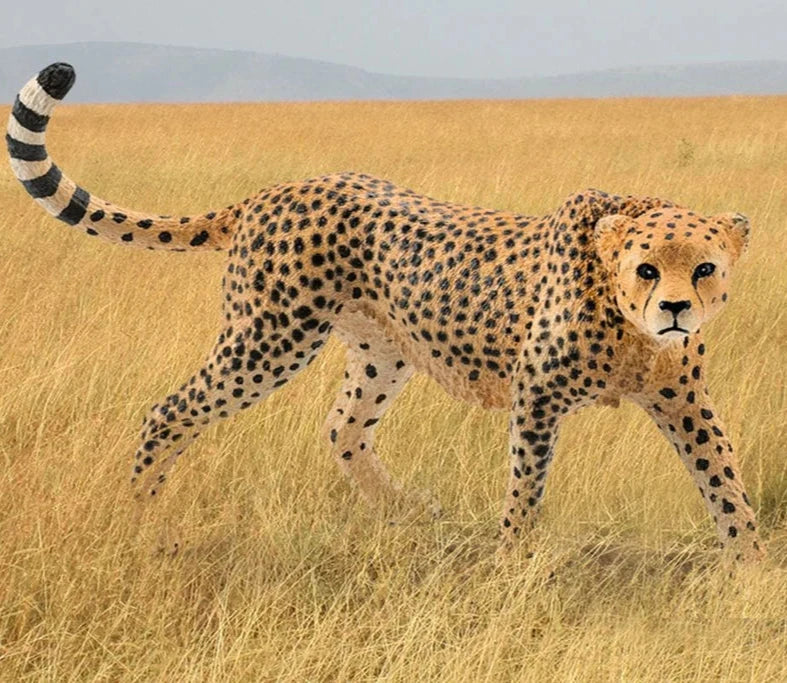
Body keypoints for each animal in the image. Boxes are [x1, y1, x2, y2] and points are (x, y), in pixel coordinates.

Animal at [6, 62, 765, 563]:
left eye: (704, 267)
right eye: (647, 269)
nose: (675, 308)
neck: (630, 326)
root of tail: (278, 188)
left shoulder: (682, 397)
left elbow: (722, 476)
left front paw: (749, 566)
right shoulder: (538, 395)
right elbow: (526, 484)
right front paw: (513, 561)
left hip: (381, 349)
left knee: (342, 426)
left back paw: (406, 509)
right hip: (269, 338)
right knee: (170, 410)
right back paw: (142, 515)